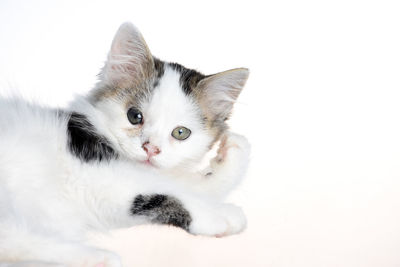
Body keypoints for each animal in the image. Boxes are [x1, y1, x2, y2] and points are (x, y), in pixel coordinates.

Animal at [0, 23, 250, 267]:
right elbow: (161, 193)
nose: (151, 148)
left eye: (180, 133)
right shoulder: (95, 176)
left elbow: (189, 185)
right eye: (134, 116)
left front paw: (234, 151)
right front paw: (219, 214)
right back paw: (101, 258)